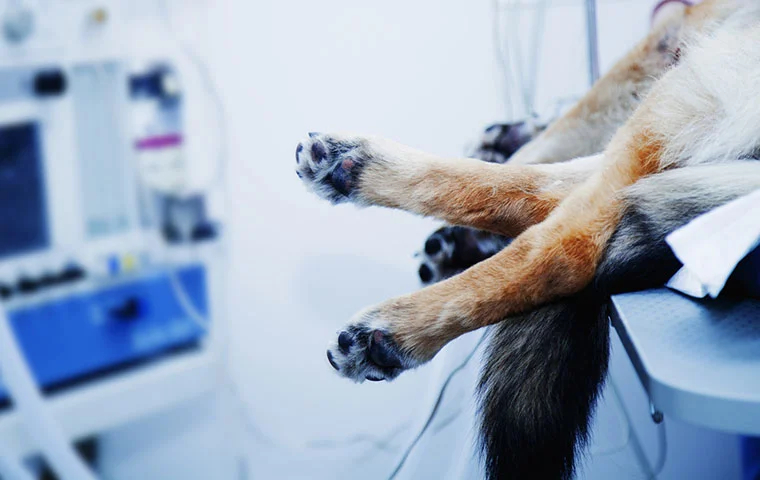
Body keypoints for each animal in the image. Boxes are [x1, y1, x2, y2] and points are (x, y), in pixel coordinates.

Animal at [295, 1, 760, 477]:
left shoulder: (665, 41)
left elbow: (550, 139)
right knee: (551, 189)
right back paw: (359, 166)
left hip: (696, 73)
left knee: (569, 244)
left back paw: (396, 328)